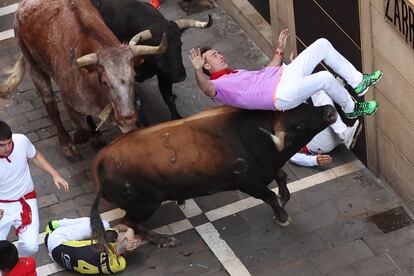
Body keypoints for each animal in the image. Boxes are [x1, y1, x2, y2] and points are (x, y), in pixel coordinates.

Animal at [2, 0, 167, 156]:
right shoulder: (69, 101)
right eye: (105, 82)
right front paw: (77, 139)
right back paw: (66, 142)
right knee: (50, 105)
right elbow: (82, 130)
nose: (127, 116)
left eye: (133, 75)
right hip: (34, 65)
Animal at [90, 103, 336, 250]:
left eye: (304, 105)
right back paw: (165, 239)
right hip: (145, 204)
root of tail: (100, 162)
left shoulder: (268, 169)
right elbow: (270, 196)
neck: (254, 135)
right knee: (127, 222)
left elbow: (282, 177)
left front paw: (284, 199)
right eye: (299, 126)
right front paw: (282, 217)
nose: (330, 111)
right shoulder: (248, 182)